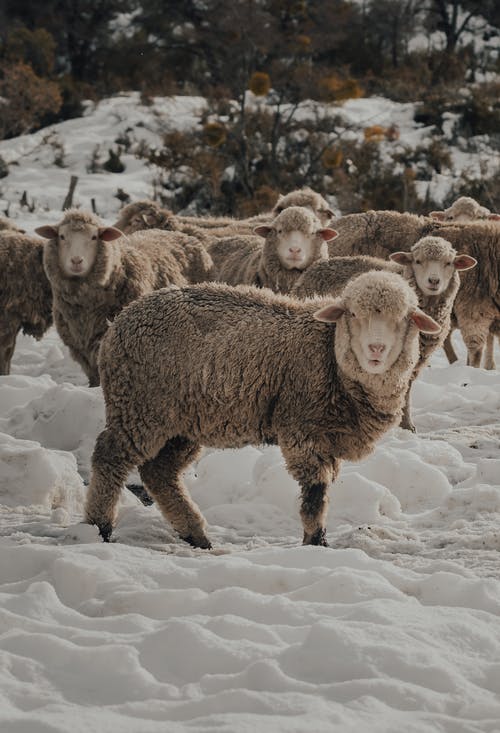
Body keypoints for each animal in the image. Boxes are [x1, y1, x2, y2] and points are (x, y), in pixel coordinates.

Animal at [84, 272, 440, 548]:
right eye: (352, 314)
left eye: (404, 318)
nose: (375, 350)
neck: (332, 357)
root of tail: (121, 320)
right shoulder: (301, 430)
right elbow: (316, 494)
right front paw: (316, 542)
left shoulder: (327, 438)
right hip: (139, 407)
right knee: (110, 458)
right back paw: (100, 526)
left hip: (180, 422)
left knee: (159, 472)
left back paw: (196, 533)